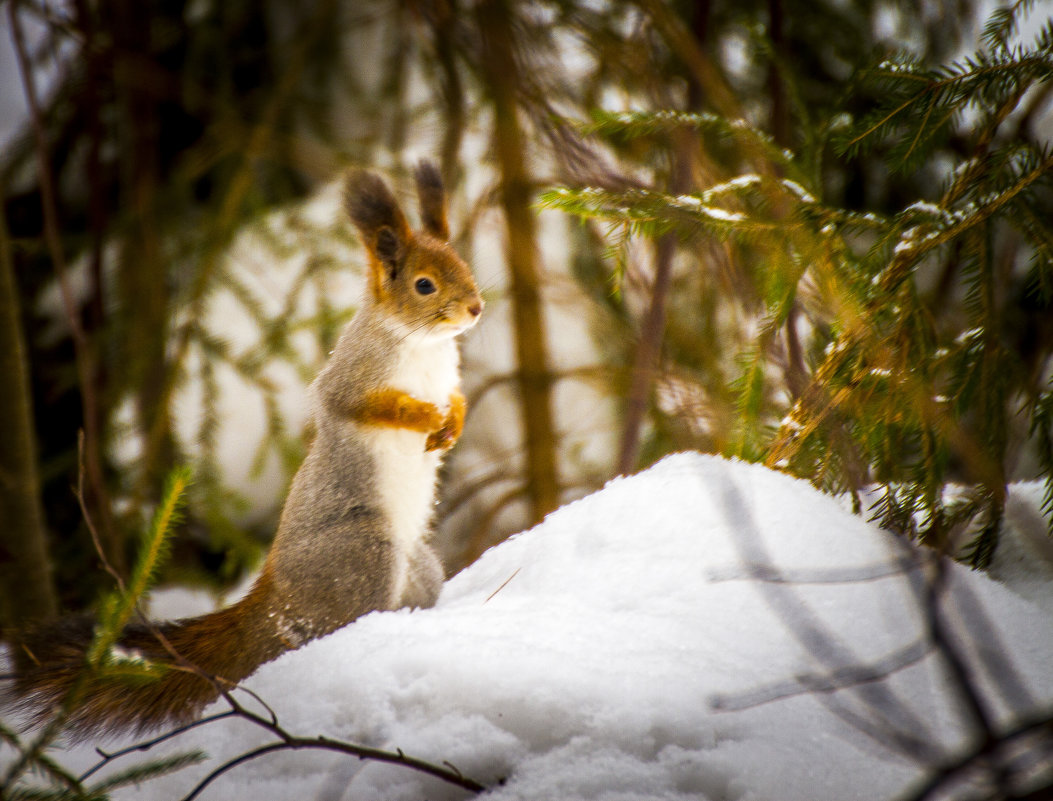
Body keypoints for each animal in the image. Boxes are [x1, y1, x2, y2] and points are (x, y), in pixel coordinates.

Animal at [3, 161, 482, 736]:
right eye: (424, 285)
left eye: (464, 264)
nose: (477, 307)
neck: (423, 346)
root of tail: (273, 599)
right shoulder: (352, 378)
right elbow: (368, 406)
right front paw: (425, 417)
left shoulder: (447, 378)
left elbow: (458, 399)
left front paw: (452, 422)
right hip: (364, 554)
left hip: (421, 566)